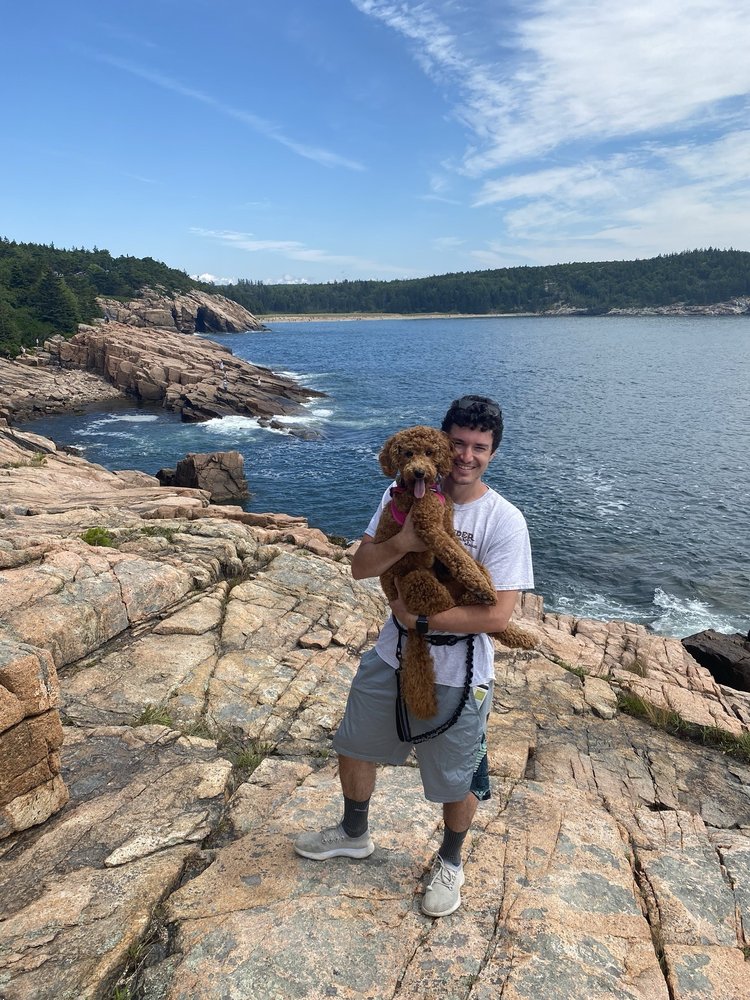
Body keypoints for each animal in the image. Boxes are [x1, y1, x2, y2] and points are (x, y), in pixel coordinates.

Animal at [373, 425, 534, 719]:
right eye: (407, 453)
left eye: (429, 452)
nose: (419, 472)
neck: (424, 493)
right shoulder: (429, 529)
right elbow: (457, 556)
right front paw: (482, 587)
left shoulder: (446, 526)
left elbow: (463, 557)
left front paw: (484, 581)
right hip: (417, 581)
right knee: (449, 606)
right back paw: (478, 599)